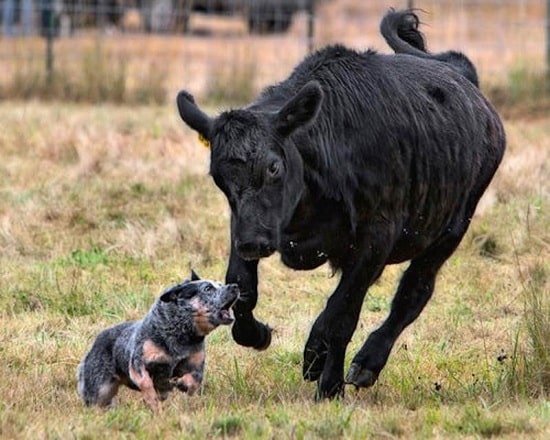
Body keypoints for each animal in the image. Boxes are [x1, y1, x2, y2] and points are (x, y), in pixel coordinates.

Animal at [77, 270, 239, 410]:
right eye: (207, 288)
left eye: (220, 284)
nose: (234, 286)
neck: (182, 337)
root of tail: (96, 341)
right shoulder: (138, 364)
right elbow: (147, 384)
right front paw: (153, 403)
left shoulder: (196, 364)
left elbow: (194, 381)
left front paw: (182, 384)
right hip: (100, 388)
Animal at [178, 8, 508, 400]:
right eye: (218, 176)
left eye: (274, 167)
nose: (253, 244)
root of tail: (459, 72)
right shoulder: (245, 226)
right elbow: (241, 287)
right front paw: (257, 334)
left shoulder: (375, 239)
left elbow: (341, 313)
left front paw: (322, 370)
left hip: (450, 231)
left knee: (412, 294)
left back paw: (363, 364)